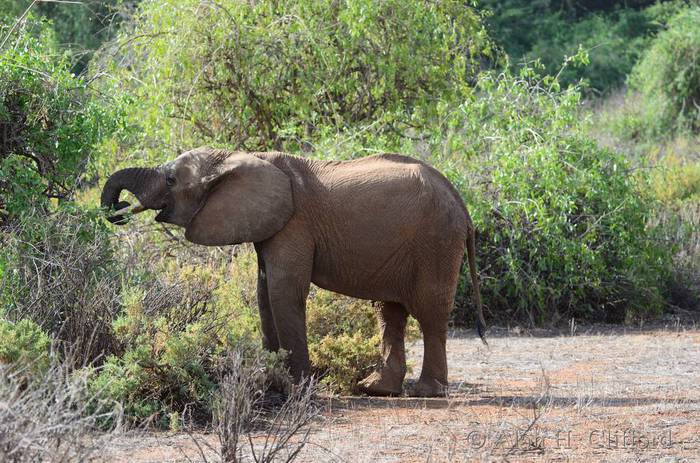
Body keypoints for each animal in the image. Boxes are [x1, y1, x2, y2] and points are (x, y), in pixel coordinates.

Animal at [102, 147, 486, 396]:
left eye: (170, 180)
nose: (120, 207)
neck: (241, 155)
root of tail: (461, 202)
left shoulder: (294, 224)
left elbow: (284, 290)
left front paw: (297, 388)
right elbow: (264, 293)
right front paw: (271, 381)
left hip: (436, 241)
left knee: (430, 311)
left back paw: (427, 392)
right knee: (389, 312)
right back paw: (376, 390)